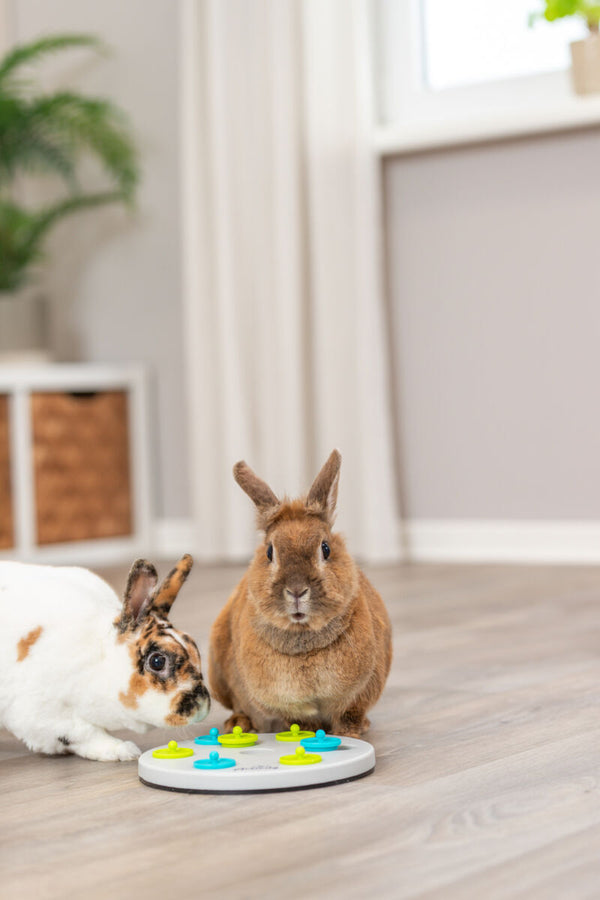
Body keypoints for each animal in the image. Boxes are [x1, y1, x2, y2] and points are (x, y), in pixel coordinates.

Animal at [0, 556, 211, 760]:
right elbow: (81, 732)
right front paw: (124, 751)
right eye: (157, 661)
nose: (201, 707)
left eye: (196, 649)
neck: (98, 657)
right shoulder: (41, 712)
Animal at [210, 450, 394, 740]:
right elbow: (301, 721)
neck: (304, 639)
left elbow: (349, 716)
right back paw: (239, 724)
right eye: (270, 552)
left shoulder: (357, 696)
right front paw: (306, 734)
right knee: (237, 705)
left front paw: (351, 734)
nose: (296, 590)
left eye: (325, 548)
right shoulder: (287, 705)